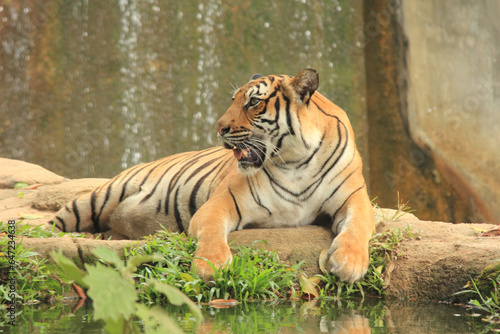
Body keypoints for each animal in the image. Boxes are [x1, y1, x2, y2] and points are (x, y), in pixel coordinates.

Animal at [49, 69, 376, 284]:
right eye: (234, 99)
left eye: (253, 102)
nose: (219, 128)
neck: (295, 162)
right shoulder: (223, 202)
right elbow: (212, 229)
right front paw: (211, 265)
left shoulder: (354, 199)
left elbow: (358, 226)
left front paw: (349, 263)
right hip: (99, 198)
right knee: (55, 224)